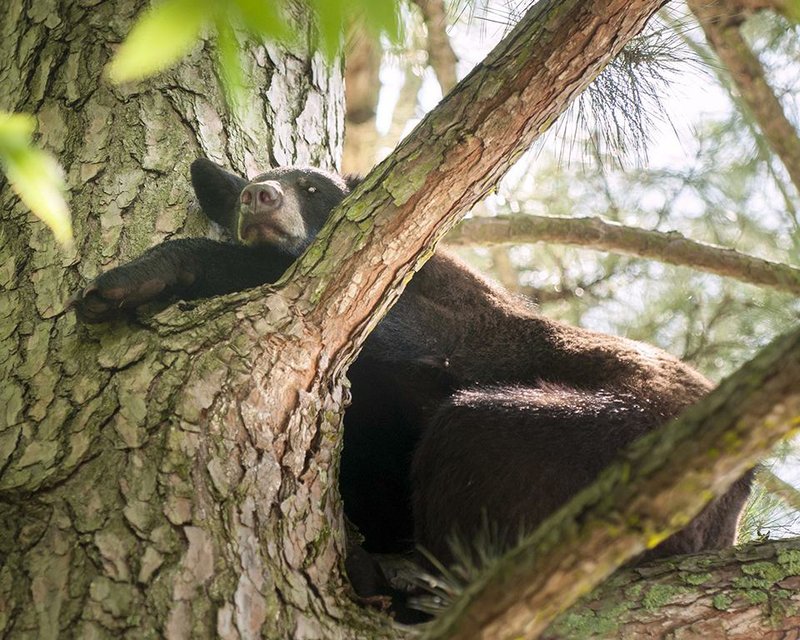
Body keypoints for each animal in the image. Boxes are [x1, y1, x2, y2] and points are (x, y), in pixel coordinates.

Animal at [72, 159, 752, 576]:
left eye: (312, 188)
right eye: (256, 182)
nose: (255, 197)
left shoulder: (430, 299)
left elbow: (342, 305)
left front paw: (140, 276)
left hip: (616, 437)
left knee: (475, 429)